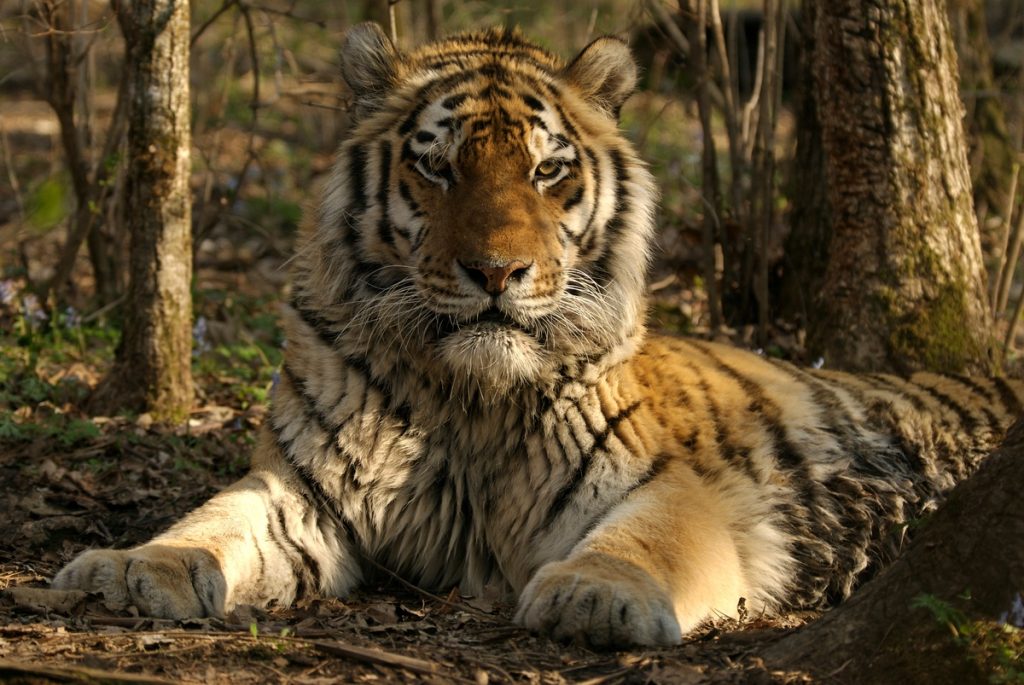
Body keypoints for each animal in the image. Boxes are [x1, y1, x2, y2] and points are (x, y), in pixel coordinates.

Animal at [54, 24, 1024, 651]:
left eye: (548, 169)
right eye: (436, 163)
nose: (497, 272)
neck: (465, 397)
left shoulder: (671, 486)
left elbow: (645, 541)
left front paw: (594, 595)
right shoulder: (304, 491)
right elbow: (213, 520)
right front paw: (131, 566)